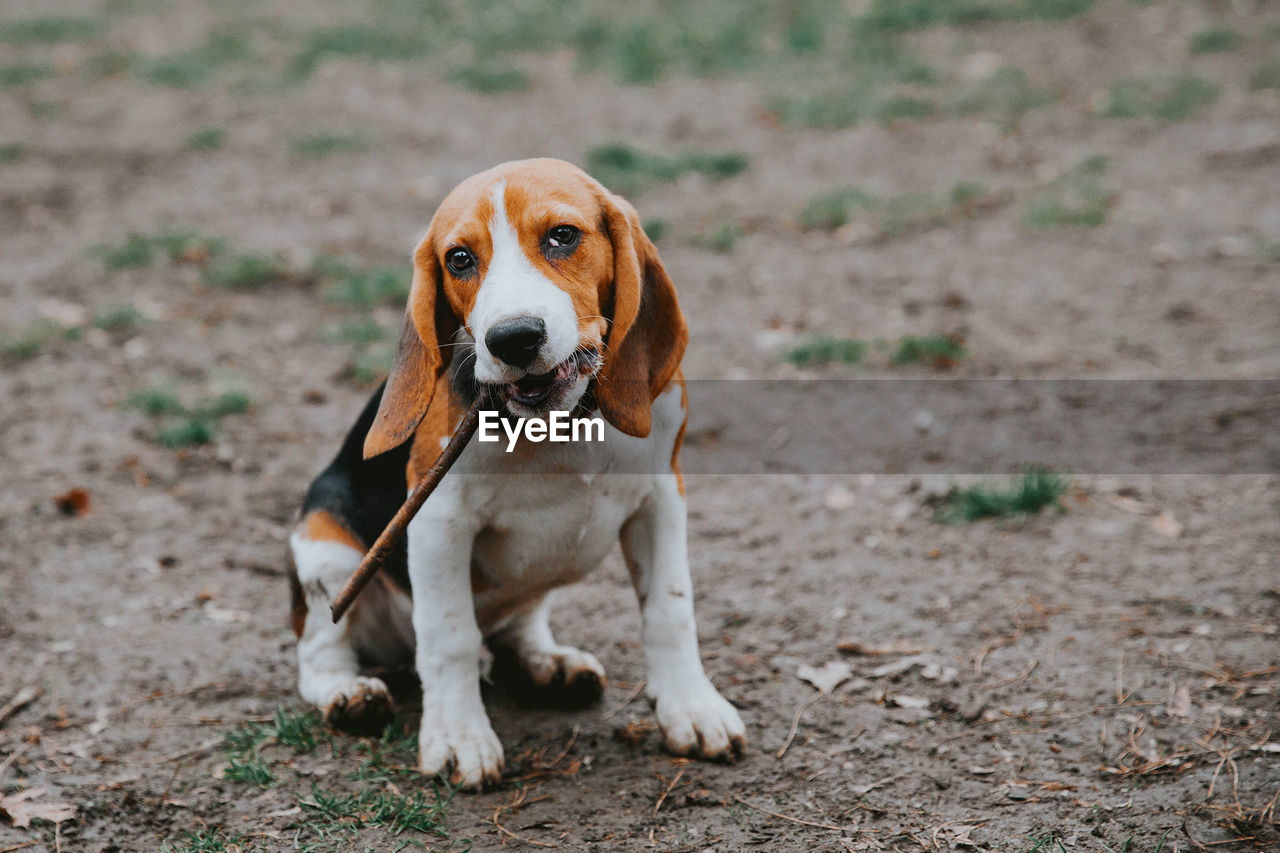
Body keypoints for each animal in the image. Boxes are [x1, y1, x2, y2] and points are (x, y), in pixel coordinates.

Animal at [288, 157, 747, 783]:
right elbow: (449, 635)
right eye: (459, 258)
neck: (564, 420)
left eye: (563, 236)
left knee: (513, 630)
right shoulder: (437, 522)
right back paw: (350, 694)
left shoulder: (661, 497)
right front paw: (459, 737)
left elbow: (670, 610)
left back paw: (546, 664)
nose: (513, 338)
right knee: (321, 651)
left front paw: (693, 709)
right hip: (324, 547)